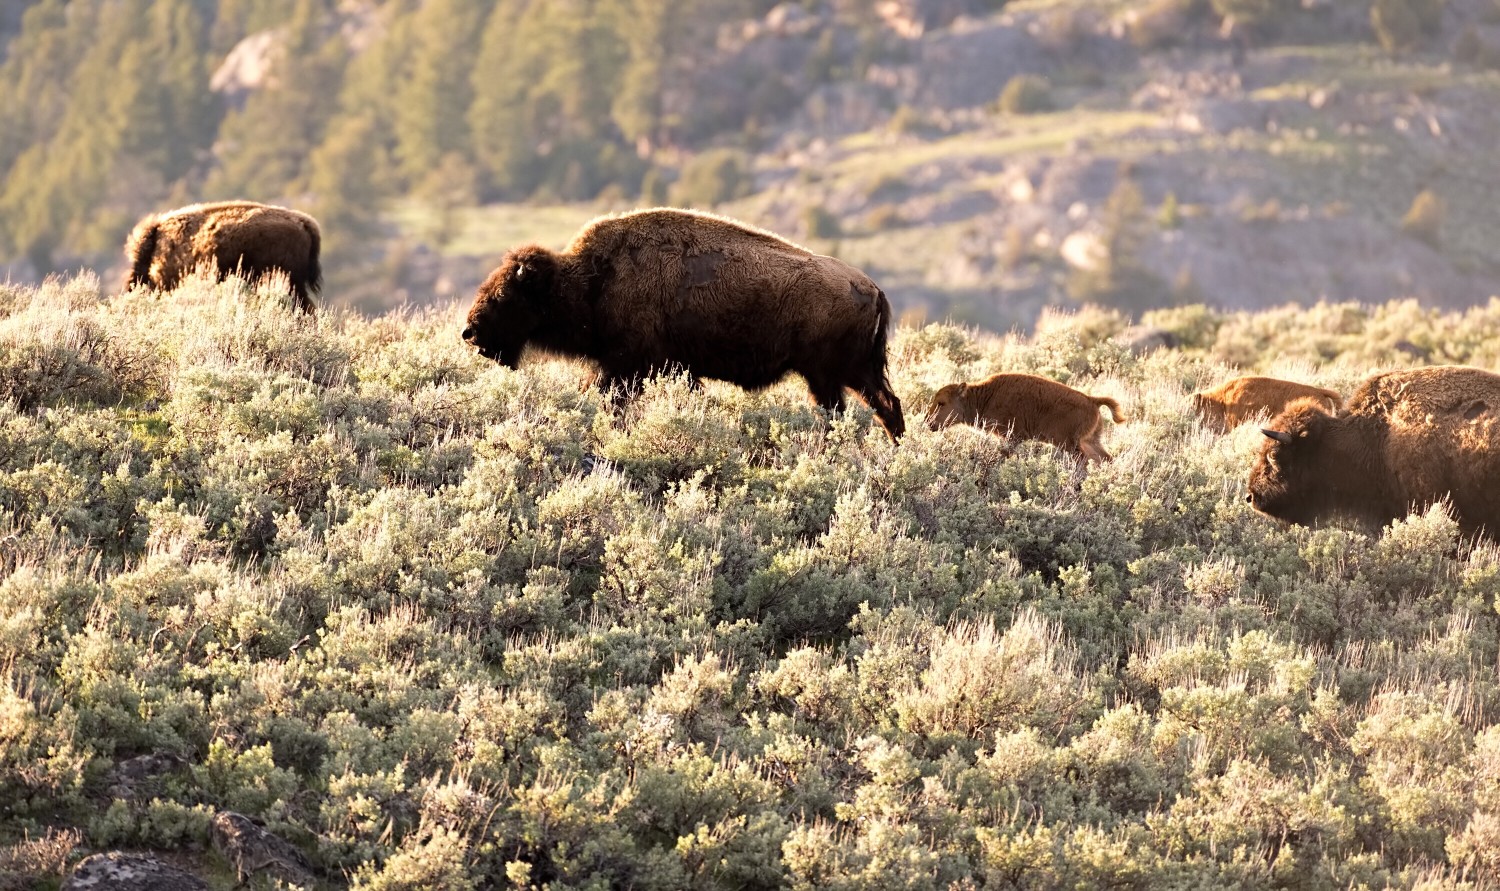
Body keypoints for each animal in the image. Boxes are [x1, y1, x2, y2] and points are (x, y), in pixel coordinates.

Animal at [456, 202, 900, 438]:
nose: (470, 332)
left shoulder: (627, 366)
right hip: (848, 373)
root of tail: (872, 287)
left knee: (862, 407)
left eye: (503, 295)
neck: (592, 278)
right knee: (882, 406)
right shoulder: (667, 368)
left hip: (832, 372)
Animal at [924, 370, 1128, 462]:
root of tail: (1092, 400)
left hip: (1070, 443)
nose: (928, 422)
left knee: (1083, 460)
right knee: (1105, 459)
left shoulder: (1013, 437)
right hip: (1090, 441)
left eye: (941, 403)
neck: (985, 397)